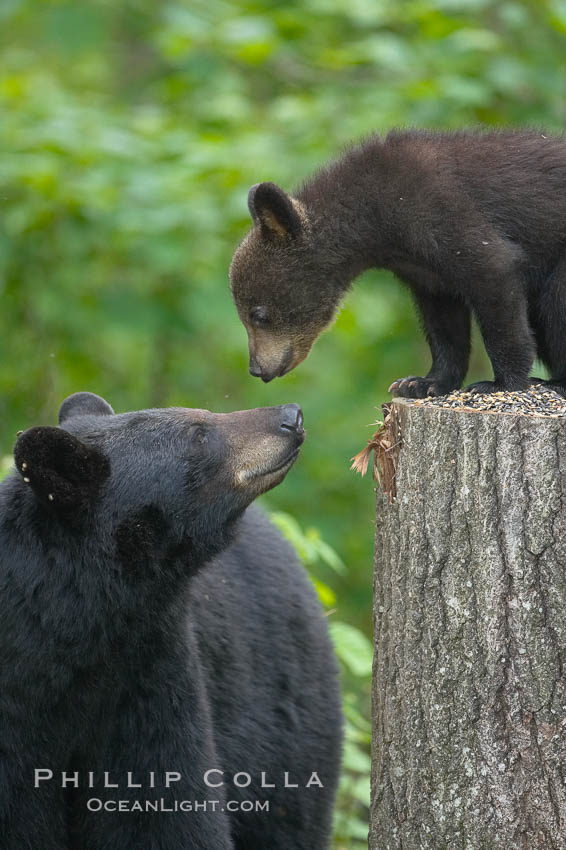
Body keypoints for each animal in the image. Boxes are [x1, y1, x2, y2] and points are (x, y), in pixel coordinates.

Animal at [230, 128, 566, 398]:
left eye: (258, 315)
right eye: (246, 315)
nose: (257, 368)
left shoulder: (443, 213)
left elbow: (495, 275)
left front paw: (500, 384)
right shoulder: (426, 272)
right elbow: (444, 323)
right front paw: (422, 382)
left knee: (554, 305)